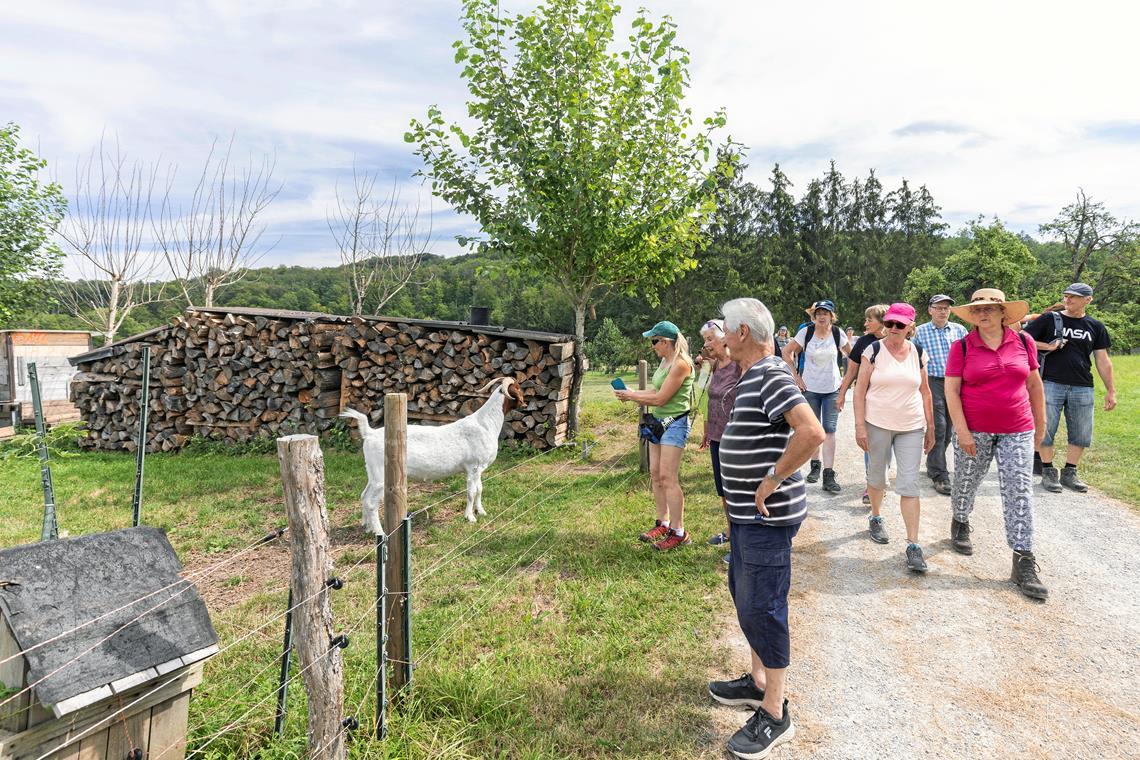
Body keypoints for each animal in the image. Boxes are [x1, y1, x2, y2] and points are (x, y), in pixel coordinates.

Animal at [342, 376, 524, 533]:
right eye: (518, 387)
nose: (525, 402)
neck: (485, 424)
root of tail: (369, 433)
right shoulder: (473, 467)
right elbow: (471, 492)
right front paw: (470, 517)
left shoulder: (479, 469)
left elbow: (479, 489)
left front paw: (481, 511)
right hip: (382, 476)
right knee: (371, 502)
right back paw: (379, 532)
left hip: (372, 473)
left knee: (364, 495)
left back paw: (367, 527)